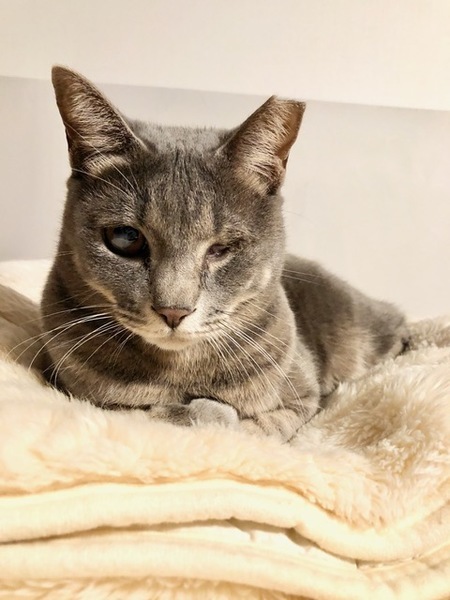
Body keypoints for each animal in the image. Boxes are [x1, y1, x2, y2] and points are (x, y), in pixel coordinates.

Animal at [41, 66, 408, 440]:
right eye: (126, 238)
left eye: (222, 249)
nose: (173, 311)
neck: (180, 372)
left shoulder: (301, 400)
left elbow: (253, 422)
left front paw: (199, 412)